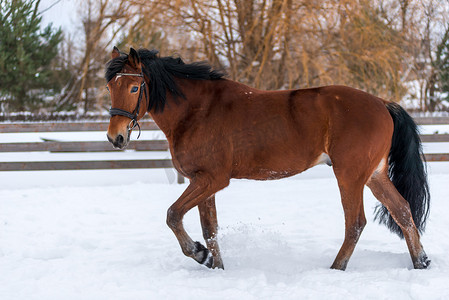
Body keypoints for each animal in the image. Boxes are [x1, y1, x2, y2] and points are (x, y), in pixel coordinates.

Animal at [105, 47, 430, 272]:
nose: (115, 137)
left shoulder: (212, 179)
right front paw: (214, 264)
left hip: (350, 175)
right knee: (402, 212)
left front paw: (198, 254)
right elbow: (210, 230)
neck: (197, 111)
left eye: (134, 87)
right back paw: (421, 262)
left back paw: (336, 268)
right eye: (110, 87)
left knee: (356, 223)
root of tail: (382, 104)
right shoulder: (203, 181)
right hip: (375, 175)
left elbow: (173, 215)